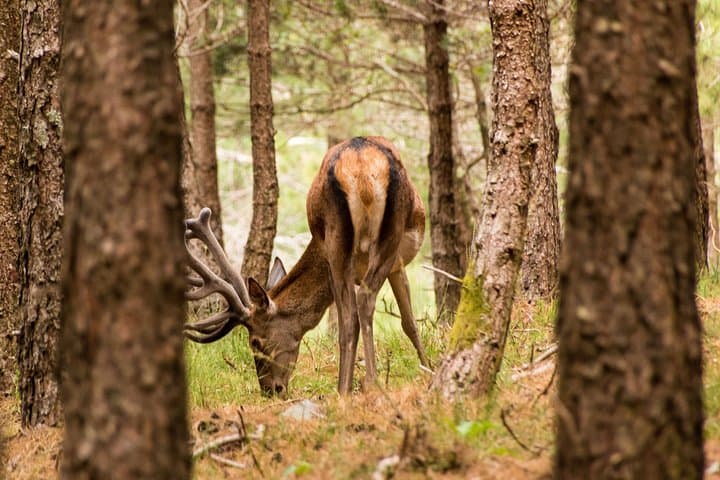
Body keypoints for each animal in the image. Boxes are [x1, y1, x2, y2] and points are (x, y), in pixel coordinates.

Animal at [183, 136, 430, 396]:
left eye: (255, 341)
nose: (270, 390)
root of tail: (360, 168)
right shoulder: (394, 264)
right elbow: (408, 321)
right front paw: (428, 369)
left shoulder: (384, 264)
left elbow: (407, 321)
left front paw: (427, 368)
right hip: (378, 237)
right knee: (361, 304)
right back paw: (365, 383)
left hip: (341, 241)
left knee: (352, 314)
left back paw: (349, 387)